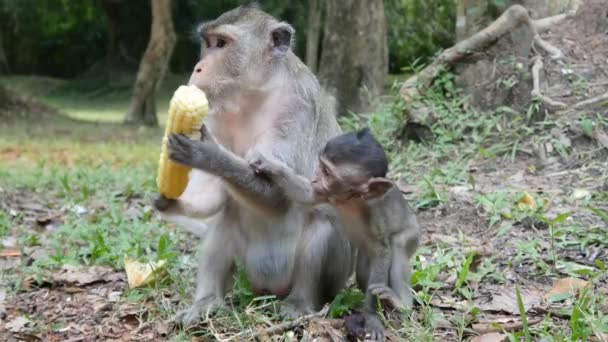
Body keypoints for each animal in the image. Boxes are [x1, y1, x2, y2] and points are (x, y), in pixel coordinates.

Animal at [154, 2, 354, 324]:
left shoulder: (296, 107)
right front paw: (168, 200)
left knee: (323, 222)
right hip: (249, 269)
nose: (198, 68)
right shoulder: (215, 113)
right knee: (223, 222)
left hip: (329, 275)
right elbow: (214, 195)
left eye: (222, 44)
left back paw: (300, 303)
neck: (254, 94)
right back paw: (207, 302)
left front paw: (207, 154)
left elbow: (278, 195)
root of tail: (270, 288)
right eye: (207, 43)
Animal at [249, 127, 420, 340]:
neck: (352, 200)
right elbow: (308, 194)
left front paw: (371, 317)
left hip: (412, 233)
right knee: (364, 268)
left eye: (327, 172)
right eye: (321, 167)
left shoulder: (374, 212)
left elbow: (382, 251)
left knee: (397, 246)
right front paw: (268, 166)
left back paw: (401, 304)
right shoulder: (325, 193)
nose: (315, 177)